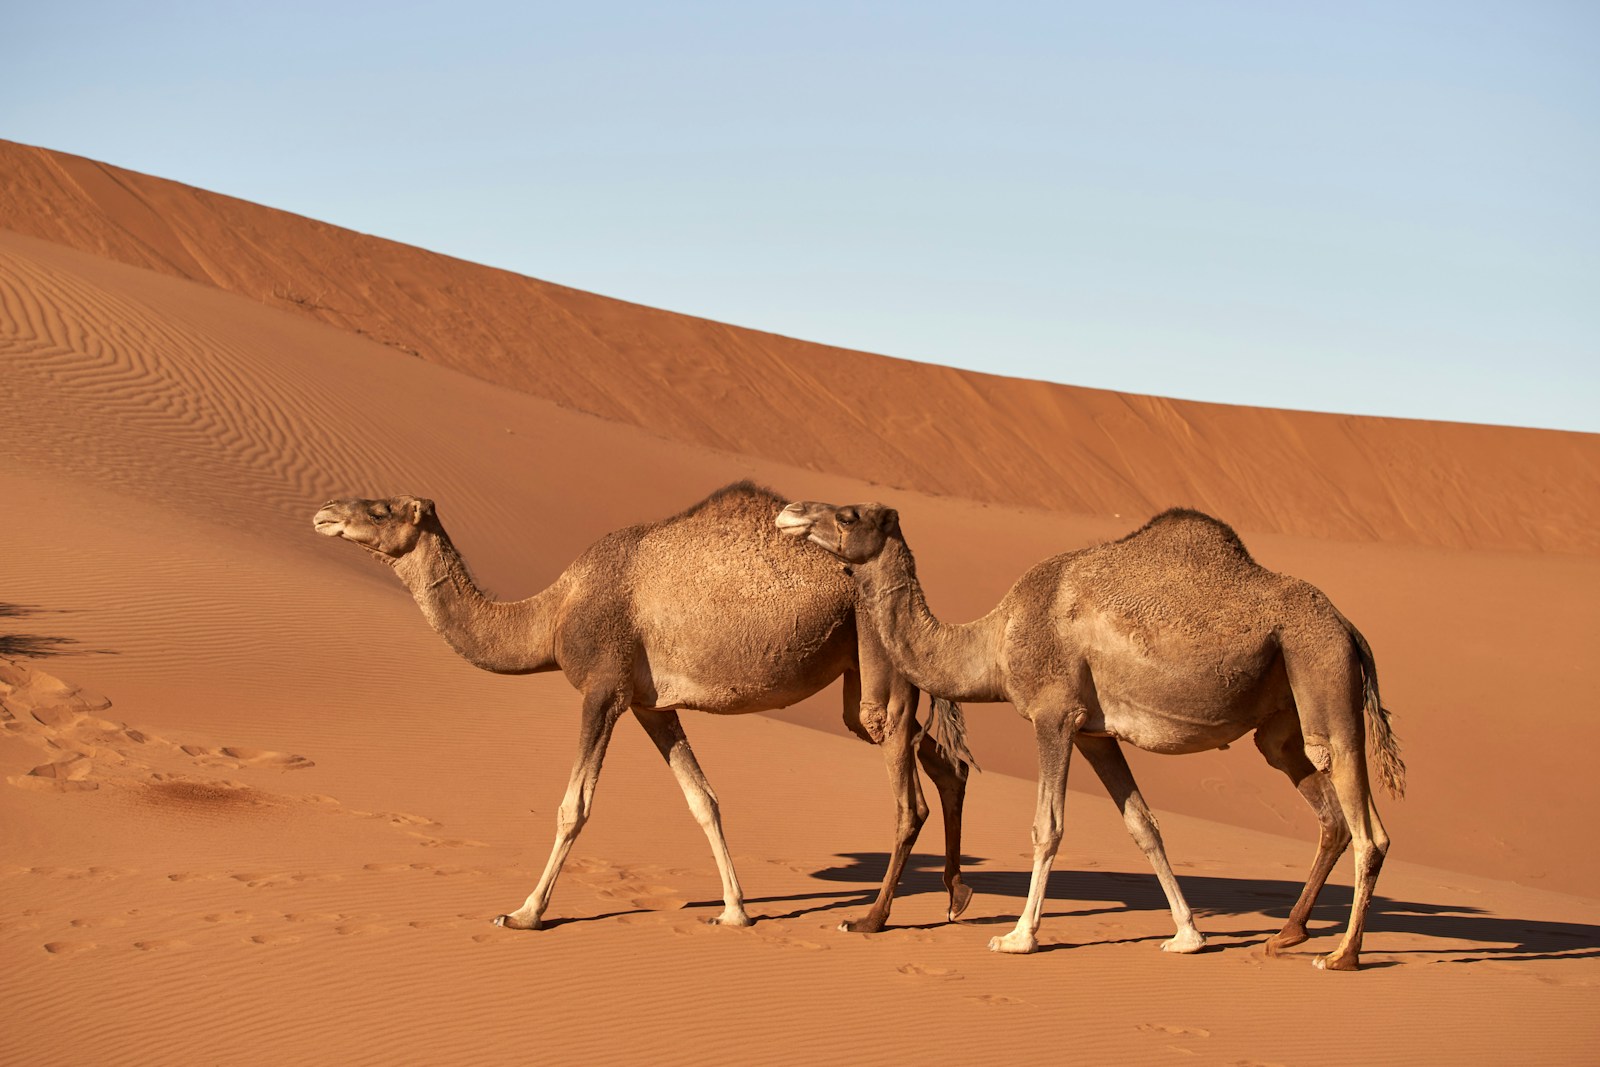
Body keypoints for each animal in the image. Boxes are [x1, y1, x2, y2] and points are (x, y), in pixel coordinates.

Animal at [313, 482, 976, 933]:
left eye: (381, 509)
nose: (325, 511)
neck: (551, 614)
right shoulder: (649, 704)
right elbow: (702, 799)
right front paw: (735, 911)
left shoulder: (602, 687)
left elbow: (573, 807)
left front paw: (525, 912)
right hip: (858, 677)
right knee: (945, 761)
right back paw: (955, 897)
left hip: (878, 667)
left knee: (907, 790)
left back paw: (874, 919)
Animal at [776, 500, 1405, 971]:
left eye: (848, 515)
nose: (790, 512)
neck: (994, 640)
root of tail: (1350, 629)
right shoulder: (1094, 732)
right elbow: (1143, 825)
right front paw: (1187, 935)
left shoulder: (1053, 714)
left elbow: (1047, 826)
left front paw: (1018, 937)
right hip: (1283, 721)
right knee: (1325, 811)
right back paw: (1287, 934)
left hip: (1321, 670)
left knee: (1368, 826)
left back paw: (1343, 955)